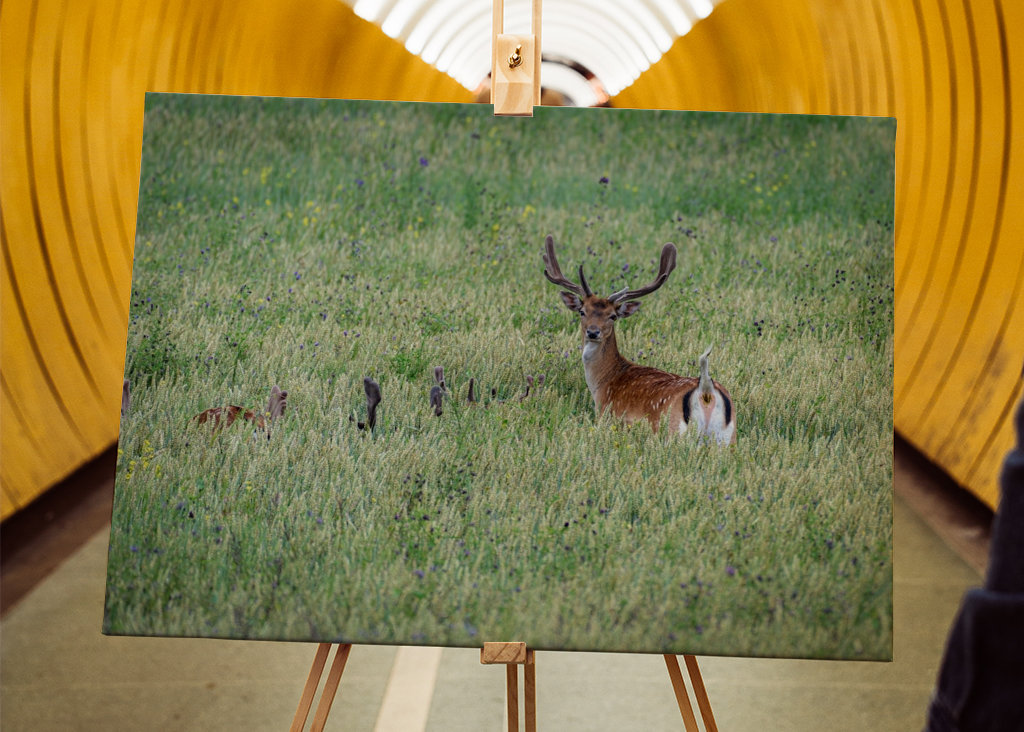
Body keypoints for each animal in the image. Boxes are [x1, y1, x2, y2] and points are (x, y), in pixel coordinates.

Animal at [543, 235, 736, 445]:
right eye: (582, 311)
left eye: (612, 316)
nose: (593, 332)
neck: (603, 381)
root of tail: (706, 392)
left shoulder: (604, 415)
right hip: (727, 438)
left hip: (673, 431)